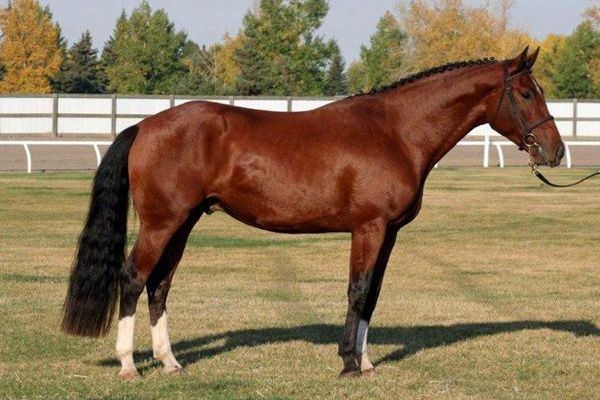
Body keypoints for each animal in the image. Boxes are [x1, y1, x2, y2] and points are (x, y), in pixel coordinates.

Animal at [59, 47, 564, 378]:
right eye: (525, 93)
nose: (556, 151)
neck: (396, 132)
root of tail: (145, 125)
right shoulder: (368, 228)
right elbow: (357, 291)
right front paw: (348, 365)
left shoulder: (389, 233)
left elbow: (372, 296)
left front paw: (366, 361)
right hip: (161, 223)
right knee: (133, 278)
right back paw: (129, 366)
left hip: (182, 223)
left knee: (160, 285)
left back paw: (169, 361)